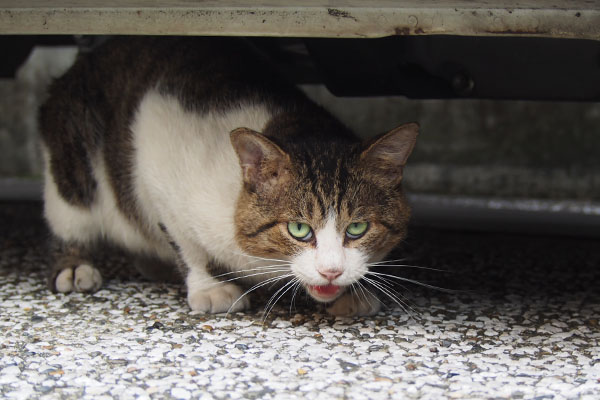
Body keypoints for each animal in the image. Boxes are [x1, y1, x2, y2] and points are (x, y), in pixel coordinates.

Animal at [38, 36, 418, 316]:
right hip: (74, 171)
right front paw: (208, 287)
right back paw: (74, 265)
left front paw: (352, 292)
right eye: (299, 229)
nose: (331, 272)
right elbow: (187, 245)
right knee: (70, 218)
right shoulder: (158, 164)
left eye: (358, 228)